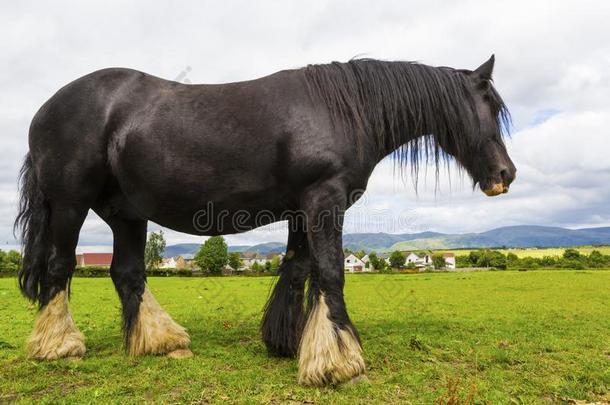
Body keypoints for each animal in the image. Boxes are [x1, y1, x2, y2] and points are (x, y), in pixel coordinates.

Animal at [14, 55, 512, 384]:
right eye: (491, 107)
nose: (506, 175)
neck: (342, 108)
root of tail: (44, 109)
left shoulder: (302, 207)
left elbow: (297, 269)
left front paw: (290, 344)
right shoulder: (324, 199)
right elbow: (330, 272)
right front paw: (341, 363)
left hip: (126, 212)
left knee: (127, 273)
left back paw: (161, 343)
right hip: (70, 203)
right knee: (61, 267)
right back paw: (61, 347)